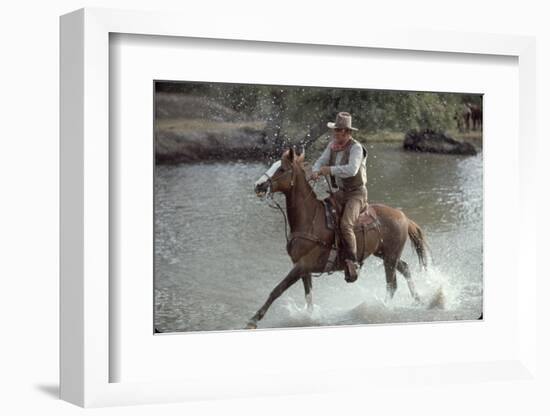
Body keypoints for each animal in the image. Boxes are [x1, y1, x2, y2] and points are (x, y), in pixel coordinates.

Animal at [247, 148, 432, 330]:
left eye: (282, 169)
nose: (258, 185)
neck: (310, 219)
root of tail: (403, 216)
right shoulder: (303, 268)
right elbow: (309, 296)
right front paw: (309, 317)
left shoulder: (301, 266)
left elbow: (277, 290)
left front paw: (254, 319)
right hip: (385, 254)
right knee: (405, 269)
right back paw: (417, 300)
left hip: (390, 257)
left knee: (392, 284)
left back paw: (383, 307)